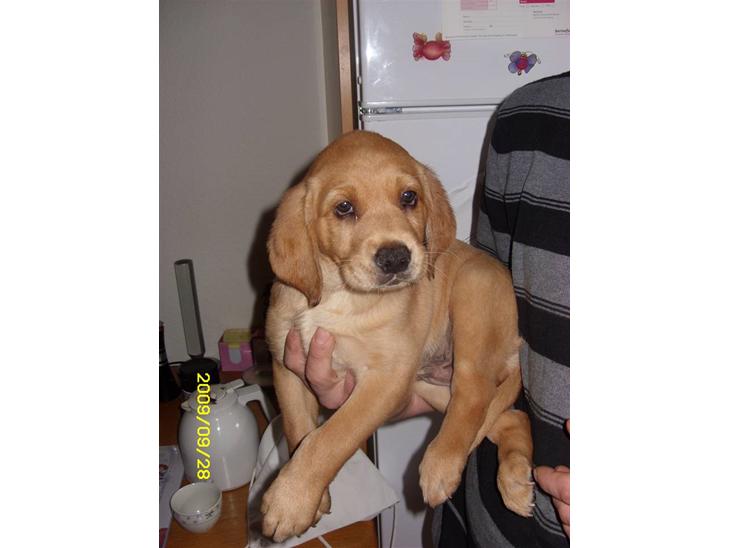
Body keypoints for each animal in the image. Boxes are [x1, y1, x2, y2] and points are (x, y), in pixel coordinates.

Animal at [262, 130, 533, 542]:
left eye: (409, 198)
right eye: (344, 208)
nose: (395, 258)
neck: (340, 295)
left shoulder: (386, 378)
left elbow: (331, 437)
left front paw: (290, 500)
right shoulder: (286, 365)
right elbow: (298, 430)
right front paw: (312, 498)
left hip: (472, 296)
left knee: (474, 393)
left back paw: (440, 465)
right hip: (432, 387)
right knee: (509, 418)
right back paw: (515, 483)